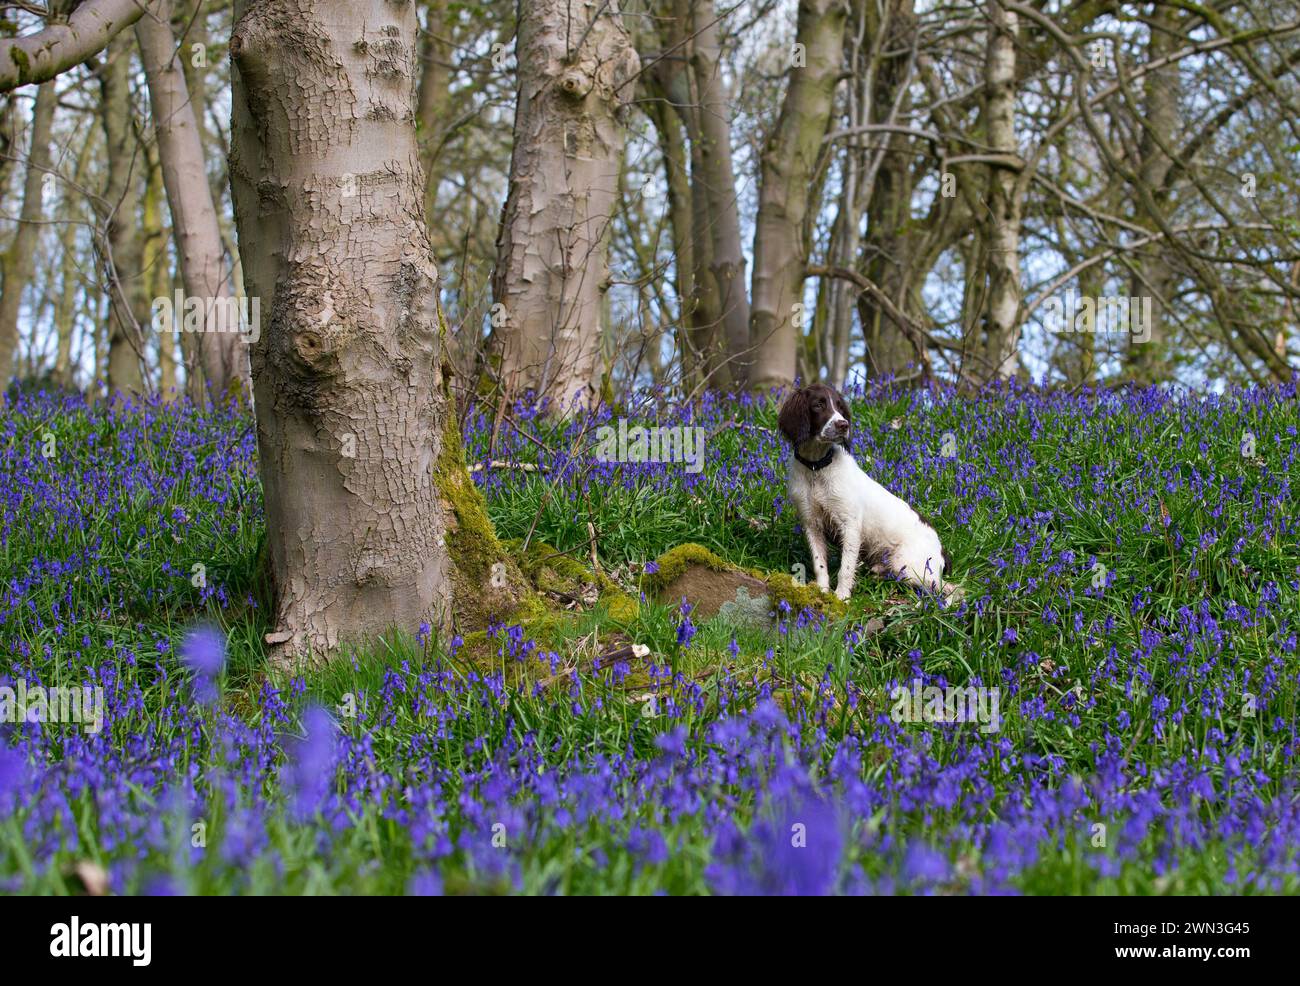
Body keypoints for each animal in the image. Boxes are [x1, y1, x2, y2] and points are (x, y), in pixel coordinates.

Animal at [774, 385, 961, 603]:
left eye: (840, 406)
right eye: (818, 405)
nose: (843, 425)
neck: (816, 468)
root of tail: (941, 549)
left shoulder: (850, 525)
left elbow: (845, 568)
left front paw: (841, 597)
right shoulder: (812, 523)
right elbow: (820, 564)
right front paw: (821, 592)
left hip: (911, 567)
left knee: (950, 589)